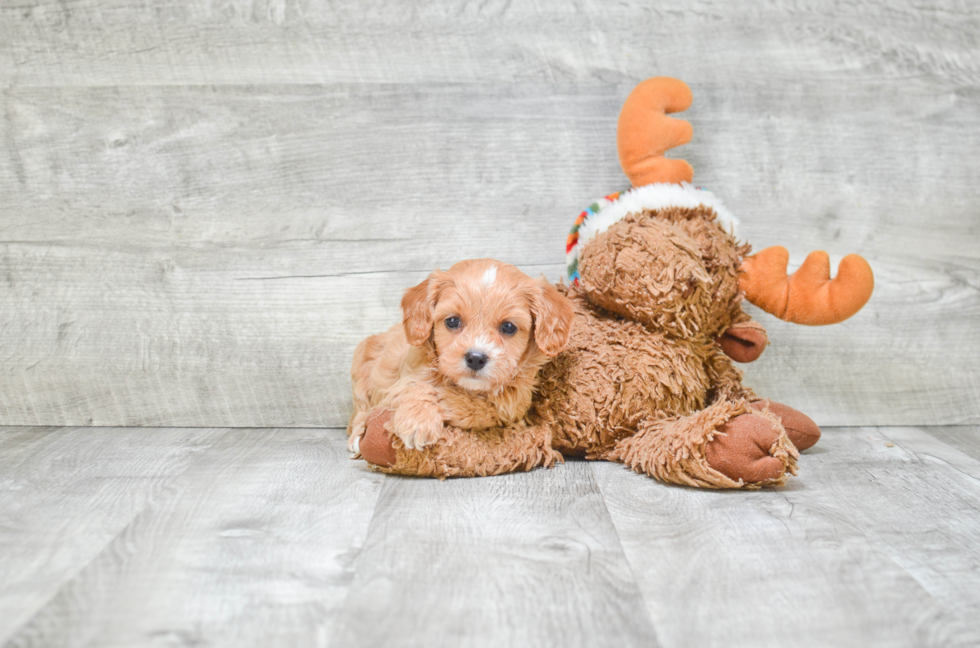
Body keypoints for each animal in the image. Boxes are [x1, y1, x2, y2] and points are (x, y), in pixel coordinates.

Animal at [348, 258, 576, 450]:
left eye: (508, 327)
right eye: (452, 321)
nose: (475, 358)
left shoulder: (516, 404)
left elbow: (491, 409)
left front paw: (448, 401)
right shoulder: (401, 381)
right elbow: (415, 385)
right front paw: (418, 420)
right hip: (361, 364)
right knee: (360, 409)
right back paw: (357, 437)